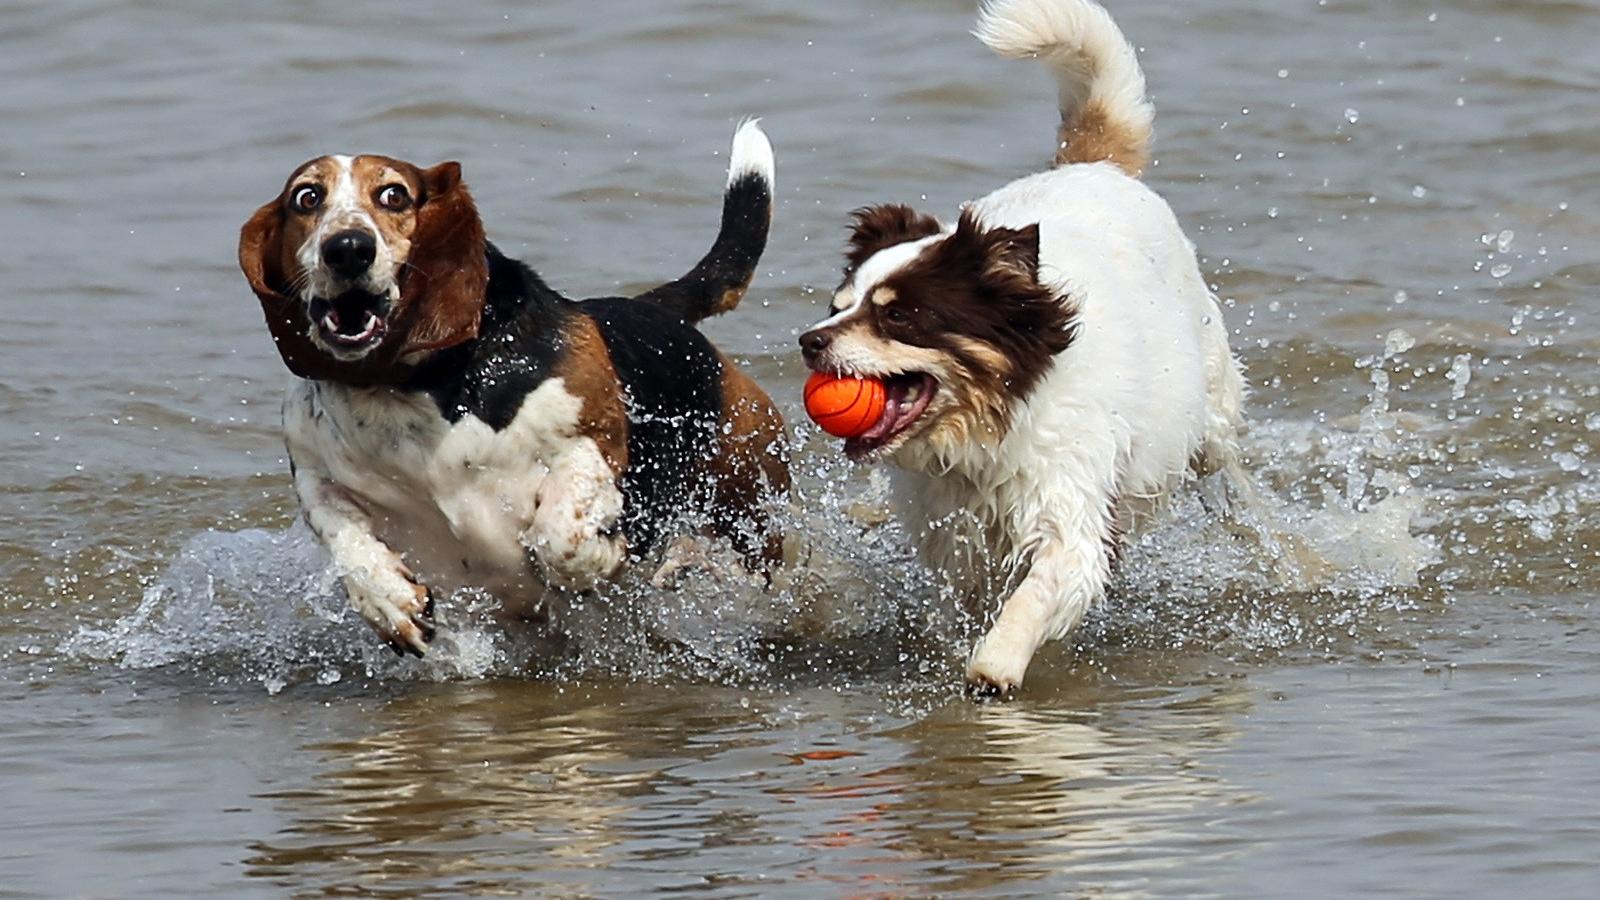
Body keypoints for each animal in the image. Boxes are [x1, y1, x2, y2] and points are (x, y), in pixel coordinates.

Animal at [238, 120, 787, 650]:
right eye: (307, 197)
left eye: (393, 195)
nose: (348, 248)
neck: (408, 387)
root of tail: (649, 307)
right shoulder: (314, 472)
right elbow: (345, 540)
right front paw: (389, 602)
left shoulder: (592, 439)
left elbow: (559, 533)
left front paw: (601, 556)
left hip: (759, 513)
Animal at [800, 0, 1248, 695]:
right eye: (836, 306)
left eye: (899, 316)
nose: (808, 343)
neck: (989, 428)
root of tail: (1092, 168)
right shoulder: (953, 538)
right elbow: (963, 604)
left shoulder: (1069, 511)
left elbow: (1035, 596)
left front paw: (995, 667)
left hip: (1215, 421)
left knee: (1240, 492)